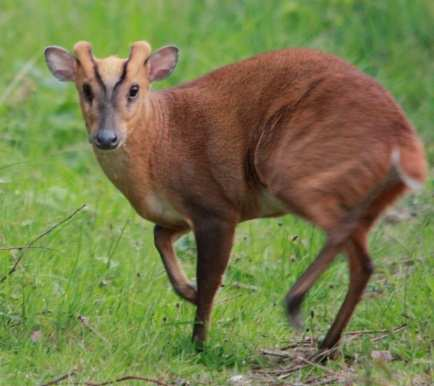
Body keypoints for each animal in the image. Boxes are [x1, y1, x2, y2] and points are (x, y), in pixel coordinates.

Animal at [45, 41, 428, 352]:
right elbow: (159, 236)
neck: (159, 142)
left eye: (134, 89)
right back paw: (326, 343)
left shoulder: (215, 207)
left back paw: (295, 304)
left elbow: (209, 278)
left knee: (344, 237)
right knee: (362, 260)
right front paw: (187, 292)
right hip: (369, 196)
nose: (106, 138)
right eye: (86, 89)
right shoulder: (182, 214)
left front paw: (198, 342)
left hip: (292, 168)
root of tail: (404, 139)